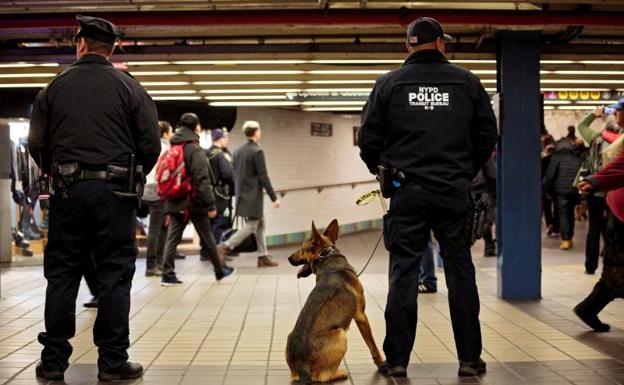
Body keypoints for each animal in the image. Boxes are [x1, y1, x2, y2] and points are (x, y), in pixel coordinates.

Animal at [286, 218, 386, 382]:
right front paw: (382, 364)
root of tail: (302, 367)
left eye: (301, 248)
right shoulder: (361, 316)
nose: (288, 258)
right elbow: (373, 346)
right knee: (324, 376)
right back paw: (341, 373)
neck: (327, 257)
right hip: (340, 334)